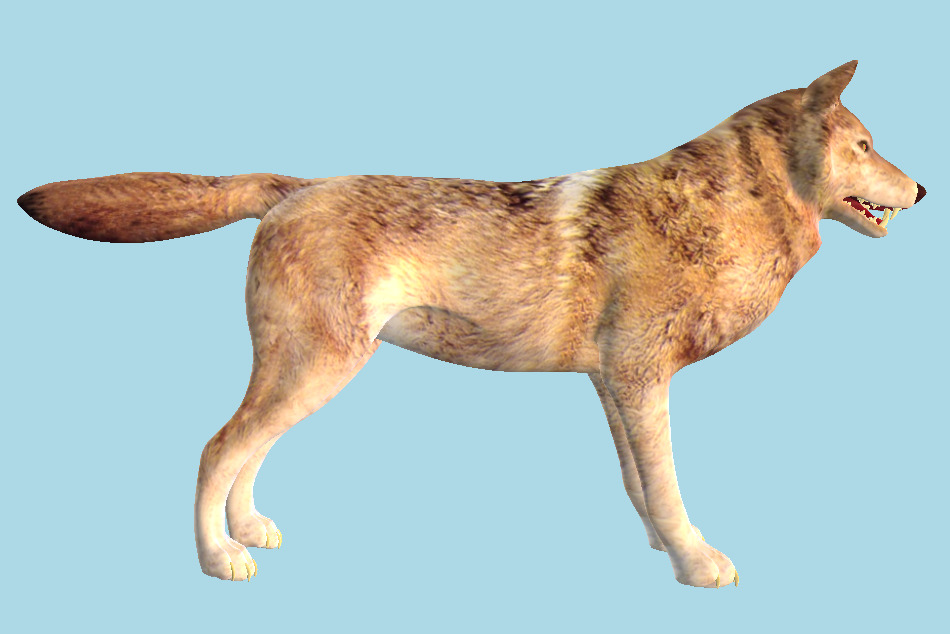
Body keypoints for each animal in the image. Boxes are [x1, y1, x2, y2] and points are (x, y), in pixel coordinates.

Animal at [17, 61, 925, 588]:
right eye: (867, 145)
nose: (921, 190)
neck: (722, 213)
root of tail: (295, 188)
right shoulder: (640, 381)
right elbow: (667, 487)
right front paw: (697, 562)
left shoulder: (612, 385)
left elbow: (637, 485)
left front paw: (660, 551)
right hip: (318, 370)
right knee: (215, 448)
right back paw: (218, 560)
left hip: (313, 374)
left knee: (249, 450)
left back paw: (250, 533)